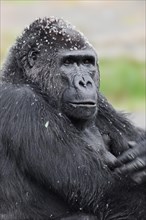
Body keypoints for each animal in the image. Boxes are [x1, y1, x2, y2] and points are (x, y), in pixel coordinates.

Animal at [0, 16, 145, 219]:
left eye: (87, 62)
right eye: (68, 63)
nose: (85, 82)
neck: (23, 78)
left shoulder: (100, 101)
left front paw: (143, 150)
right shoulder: (23, 103)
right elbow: (108, 192)